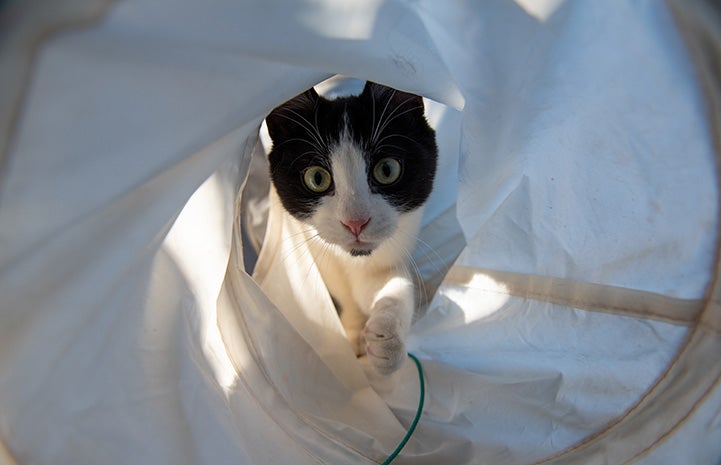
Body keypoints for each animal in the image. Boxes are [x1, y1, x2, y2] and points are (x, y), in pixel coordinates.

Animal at [262, 82, 436, 374]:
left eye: (387, 169)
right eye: (317, 178)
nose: (356, 221)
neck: (351, 259)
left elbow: (390, 281)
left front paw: (386, 338)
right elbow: (340, 291)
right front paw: (353, 332)